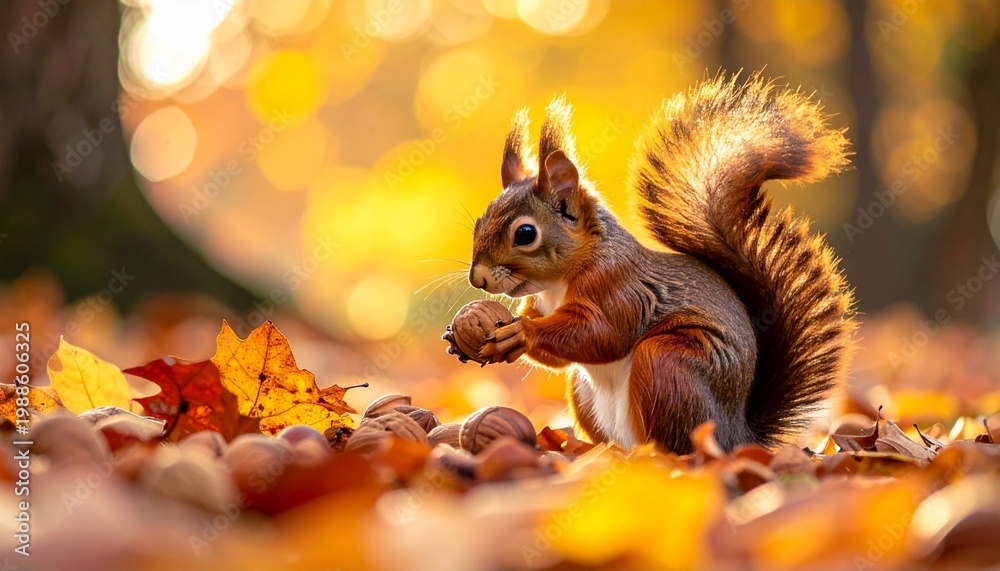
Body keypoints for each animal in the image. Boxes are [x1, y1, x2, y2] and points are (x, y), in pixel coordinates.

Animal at [446, 73, 856, 453]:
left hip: (668, 365)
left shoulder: (619, 286)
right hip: (589, 392)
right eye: (480, 222)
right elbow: (562, 356)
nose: (478, 279)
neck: (559, 283)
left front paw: (521, 332)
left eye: (525, 234)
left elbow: (601, 334)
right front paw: (468, 334)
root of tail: (737, 437)